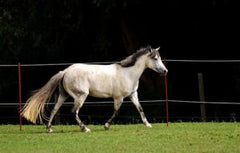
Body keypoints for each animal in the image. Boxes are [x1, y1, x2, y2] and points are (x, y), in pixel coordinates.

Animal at [22, 45, 167, 133]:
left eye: (159, 58)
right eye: (155, 58)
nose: (165, 71)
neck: (128, 73)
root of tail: (65, 72)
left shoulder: (133, 95)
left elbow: (140, 108)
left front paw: (148, 125)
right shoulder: (118, 98)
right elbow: (116, 112)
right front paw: (106, 125)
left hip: (63, 95)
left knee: (54, 109)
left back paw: (49, 129)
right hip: (80, 96)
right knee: (74, 111)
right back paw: (85, 128)